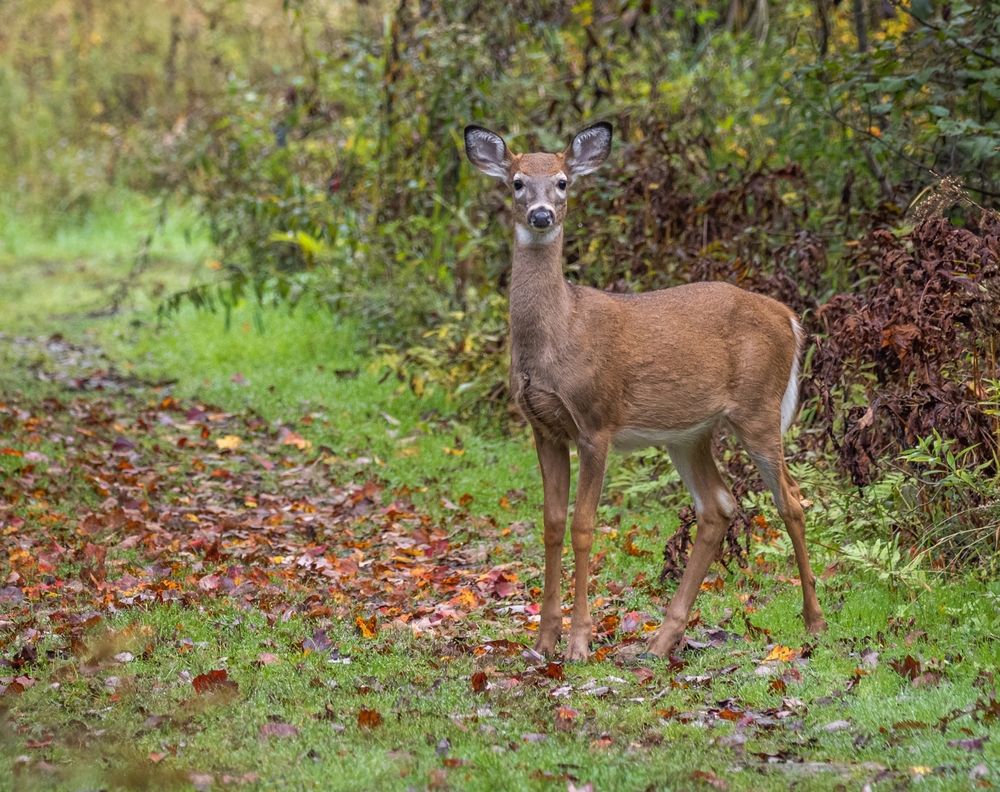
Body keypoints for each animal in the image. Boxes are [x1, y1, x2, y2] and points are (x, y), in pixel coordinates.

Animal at [463, 122, 827, 662]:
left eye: (564, 182)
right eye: (517, 182)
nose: (541, 214)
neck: (557, 334)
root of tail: (790, 318)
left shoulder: (596, 421)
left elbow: (583, 527)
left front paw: (578, 643)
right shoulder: (543, 427)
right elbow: (551, 524)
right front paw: (544, 640)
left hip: (758, 409)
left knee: (793, 500)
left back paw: (814, 622)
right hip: (688, 434)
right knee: (718, 506)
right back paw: (660, 640)